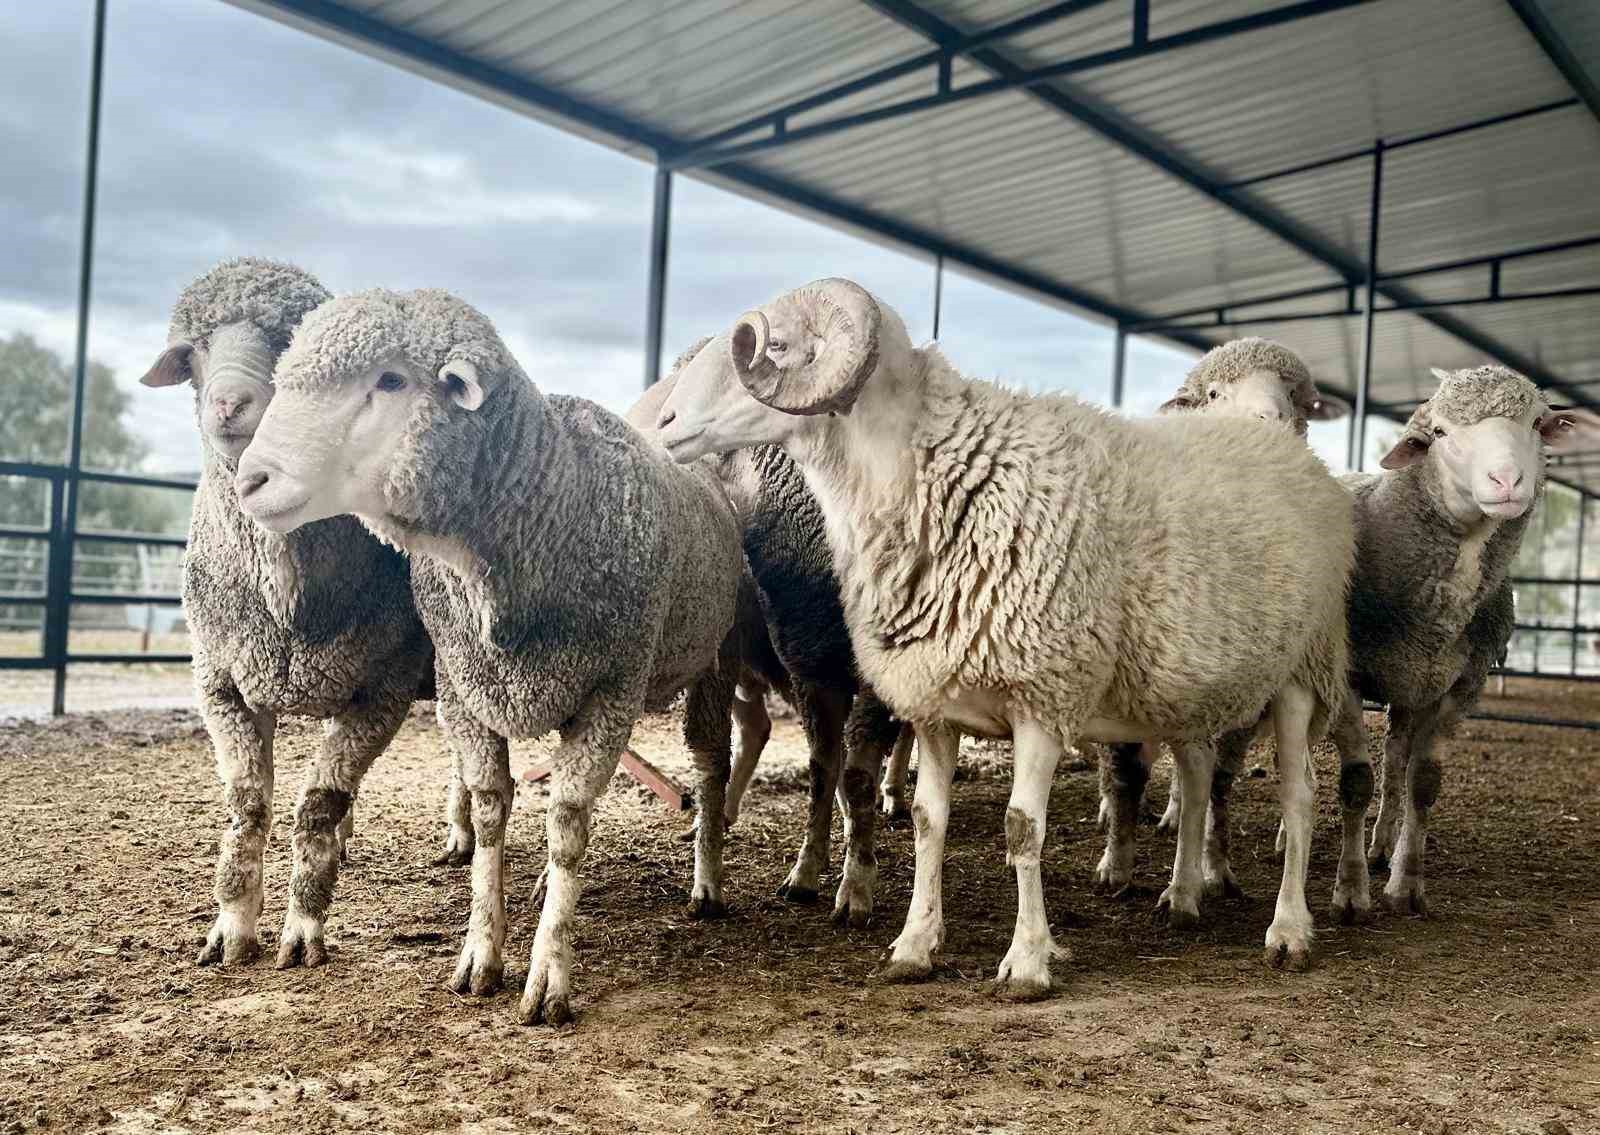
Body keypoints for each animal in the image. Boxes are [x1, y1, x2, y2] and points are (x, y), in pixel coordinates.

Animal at [137, 256, 432, 966]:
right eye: (194, 352)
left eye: (288, 344)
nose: (228, 403)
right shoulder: (222, 683)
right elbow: (248, 806)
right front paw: (232, 927)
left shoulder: (385, 688)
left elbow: (318, 805)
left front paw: (302, 929)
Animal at [233, 288, 745, 1024]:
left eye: (392, 380)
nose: (251, 479)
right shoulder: (466, 688)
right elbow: (491, 811)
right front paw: (481, 953)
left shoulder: (612, 690)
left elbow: (566, 823)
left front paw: (548, 974)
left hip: (713, 658)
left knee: (708, 768)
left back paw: (707, 882)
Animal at [636, 340, 915, 928]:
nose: (662, 424)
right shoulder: (809, 667)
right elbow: (823, 769)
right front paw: (807, 872)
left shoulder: (866, 681)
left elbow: (855, 774)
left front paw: (856, 887)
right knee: (760, 728)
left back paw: (897, 797)